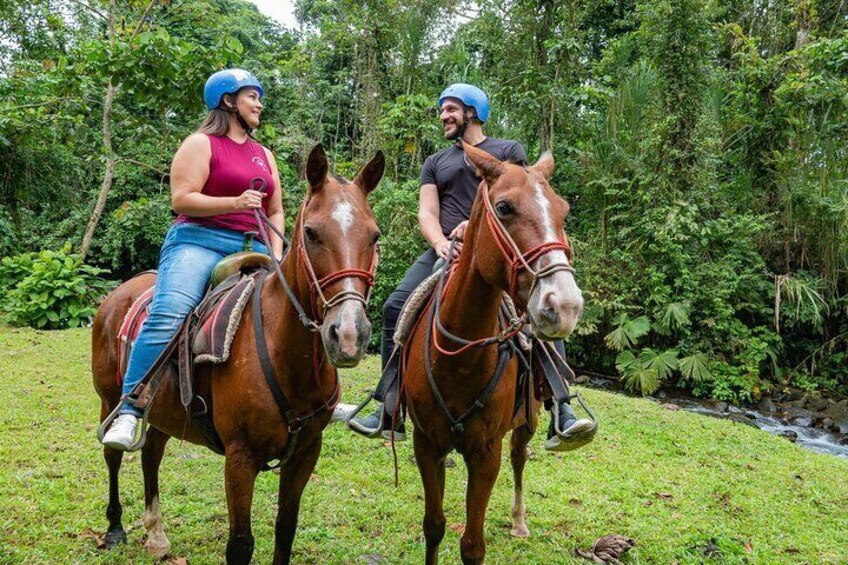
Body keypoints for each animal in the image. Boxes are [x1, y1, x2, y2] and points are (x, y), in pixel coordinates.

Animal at [92, 145, 384, 564]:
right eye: (311, 233)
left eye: (374, 236)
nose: (348, 334)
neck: (287, 357)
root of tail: (116, 294)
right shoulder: (240, 457)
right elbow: (240, 545)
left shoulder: (307, 450)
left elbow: (285, 530)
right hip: (110, 399)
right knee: (113, 456)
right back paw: (115, 528)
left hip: (163, 410)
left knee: (151, 456)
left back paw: (157, 535)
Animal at [402, 144, 584, 564]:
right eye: (504, 208)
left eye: (563, 210)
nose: (564, 305)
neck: (459, 358)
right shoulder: (426, 443)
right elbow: (433, 526)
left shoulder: (486, 453)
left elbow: (472, 544)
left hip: (528, 418)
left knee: (520, 457)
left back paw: (519, 520)